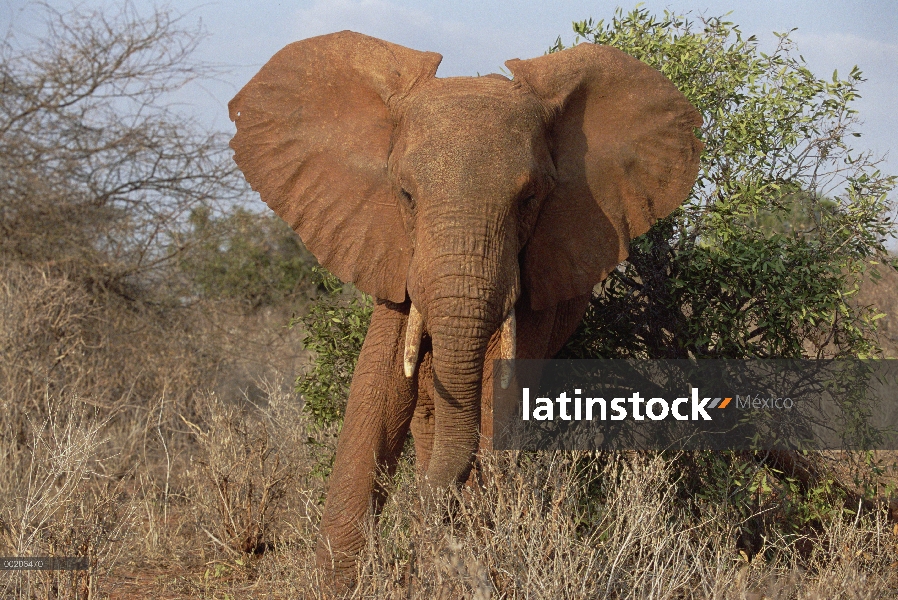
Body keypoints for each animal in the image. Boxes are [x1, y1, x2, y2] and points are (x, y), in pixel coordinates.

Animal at [226, 31, 700, 580]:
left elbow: (498, 395)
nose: (422, 523)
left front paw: (474, 553)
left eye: (530, 198)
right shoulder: (392, 249)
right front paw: (334, 581)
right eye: (405, 194)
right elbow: (380, 388)